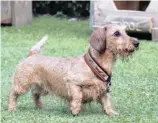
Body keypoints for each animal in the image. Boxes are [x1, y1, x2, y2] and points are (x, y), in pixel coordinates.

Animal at [7, 24, 138, 115]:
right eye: (116, 33)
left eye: (126, 32)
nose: (137, 42)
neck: (94, 65)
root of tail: (33, 54)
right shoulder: (73, 84)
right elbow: (78, 96)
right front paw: (75, 110)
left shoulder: (103, 89)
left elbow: (107, 102)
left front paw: (111, 112)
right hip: (22, 85)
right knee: (13, 93)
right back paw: (11, 107)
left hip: (42, 88)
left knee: (35, 95)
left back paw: (40, 107)